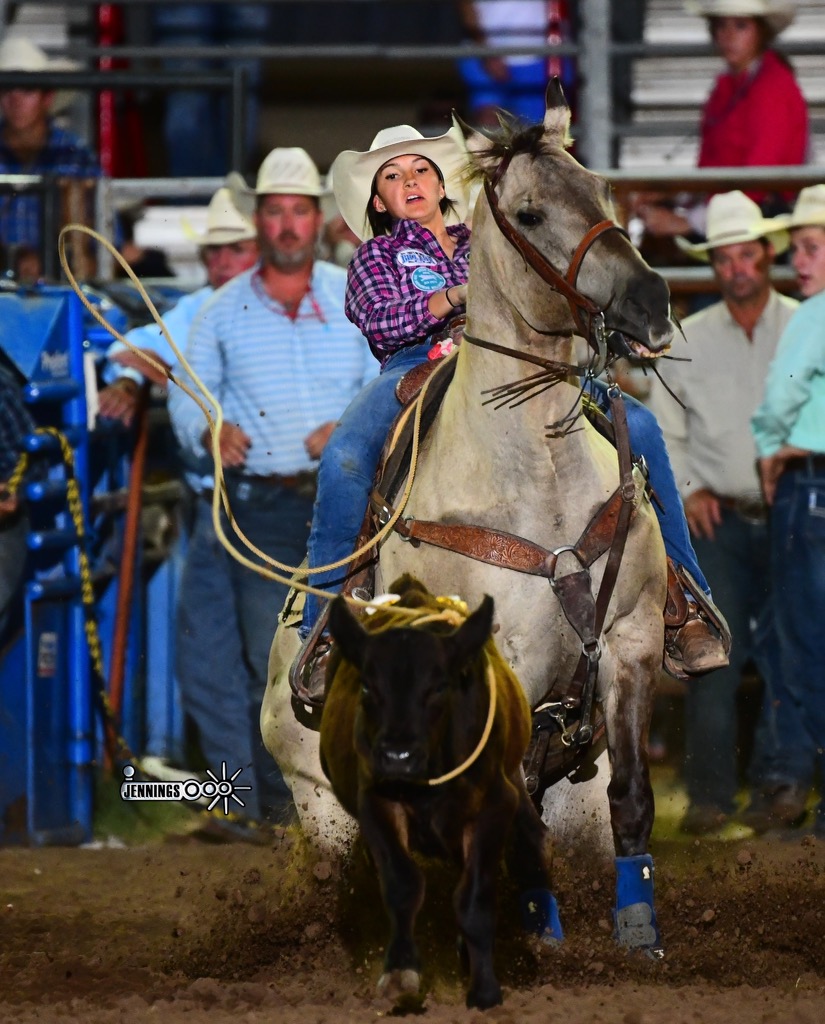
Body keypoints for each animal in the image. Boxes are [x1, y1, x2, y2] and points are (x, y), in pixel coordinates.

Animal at [319, 575, 563, 1011]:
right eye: (368, 687)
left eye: (437, 688)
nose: (397, 756)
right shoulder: (377, 802)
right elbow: (402, 884)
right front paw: (400, 974)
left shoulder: (493, 807)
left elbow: (475, 895)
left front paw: (484, 989)